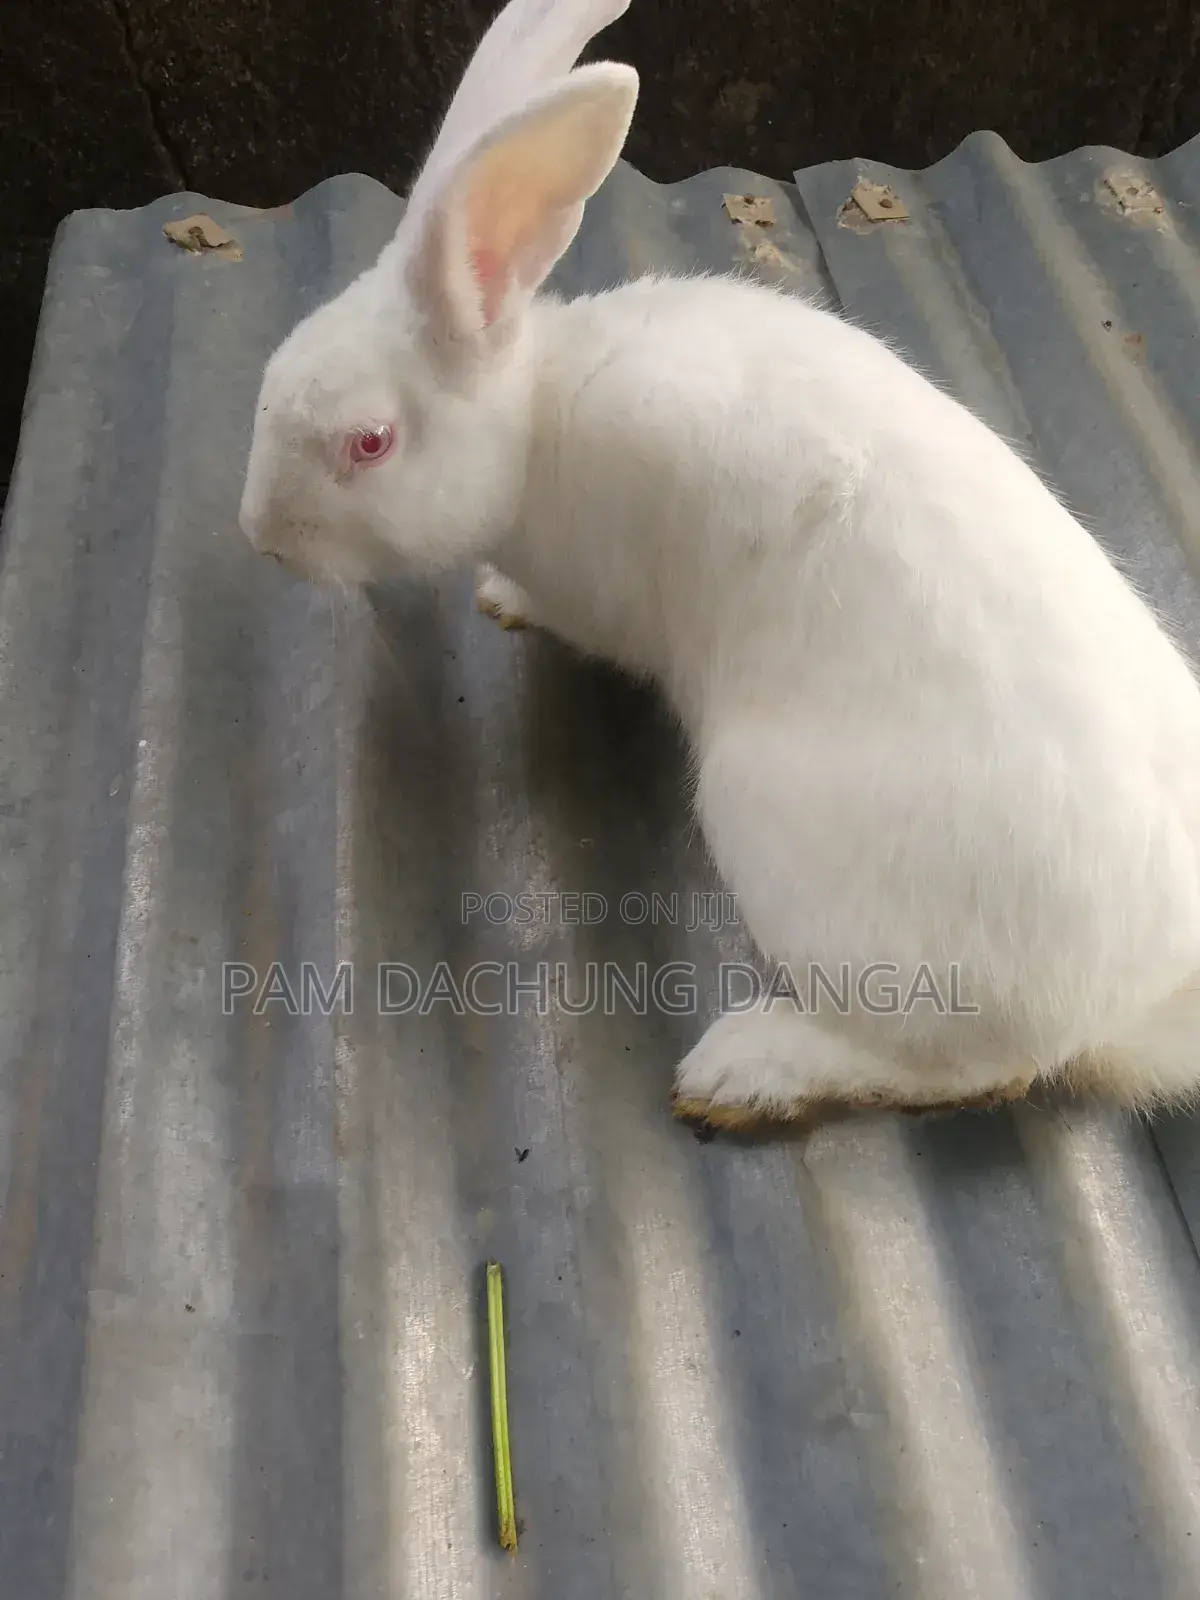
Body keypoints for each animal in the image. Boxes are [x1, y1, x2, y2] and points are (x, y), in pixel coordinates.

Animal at [239, 0, 1200, 1128]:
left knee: (970, 1065)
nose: (260, 533)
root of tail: (1132, 991)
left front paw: (501, 595)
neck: (536, 421)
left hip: (779, 833)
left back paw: (740, 1072)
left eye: (370, 443)